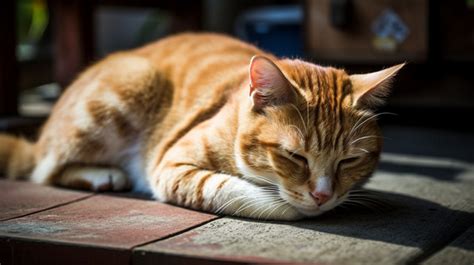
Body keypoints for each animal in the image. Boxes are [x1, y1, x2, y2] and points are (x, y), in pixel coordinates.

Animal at [0, 33, 404, 219]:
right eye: (295, 157)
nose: (322, 196)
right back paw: (103, 174)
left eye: (349, 161)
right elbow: (230, 189)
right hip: (130, 85)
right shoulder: (171, 166)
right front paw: (289, 206)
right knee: (44, 169)